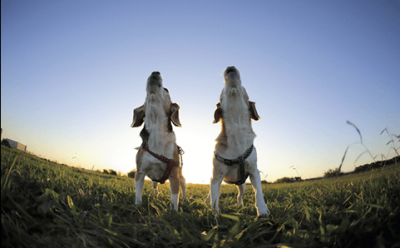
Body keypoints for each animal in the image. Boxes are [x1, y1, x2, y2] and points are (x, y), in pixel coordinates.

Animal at [131, 71, 188, 211]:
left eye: (166, 90)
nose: (155, 72)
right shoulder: (140, 173)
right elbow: (138, 195)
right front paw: (137, 207)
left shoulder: (174, 176)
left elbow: (175, 198)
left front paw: (174, 212)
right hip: (153, 181)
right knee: (155, 186)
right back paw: (156, 194)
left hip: (182, 178)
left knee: (183, 190)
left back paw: (185, 199)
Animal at [208, 66, 270, 217]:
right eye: (221, 91)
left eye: (244, 88)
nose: (230, 66)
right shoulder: (216, 177)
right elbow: (214, 200)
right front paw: (215, 217)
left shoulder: (254, 172)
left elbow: (258, 193)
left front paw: (262, 210)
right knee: (211, 194)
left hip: (242, 185)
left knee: (239, 196)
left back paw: (240, 206)